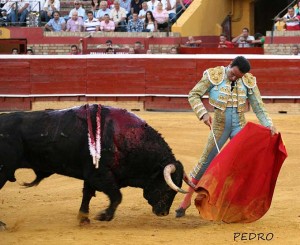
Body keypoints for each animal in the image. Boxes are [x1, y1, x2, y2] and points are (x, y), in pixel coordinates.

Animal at [0, 104, 188, 229]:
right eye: (168, 187)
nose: (163, 213)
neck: (127, 138)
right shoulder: (100, 175)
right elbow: (117, 196)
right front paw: (103, 216)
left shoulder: (92, 175)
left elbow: (87, 194)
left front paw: (83, 218)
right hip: (3, 170)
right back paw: (2, 224)